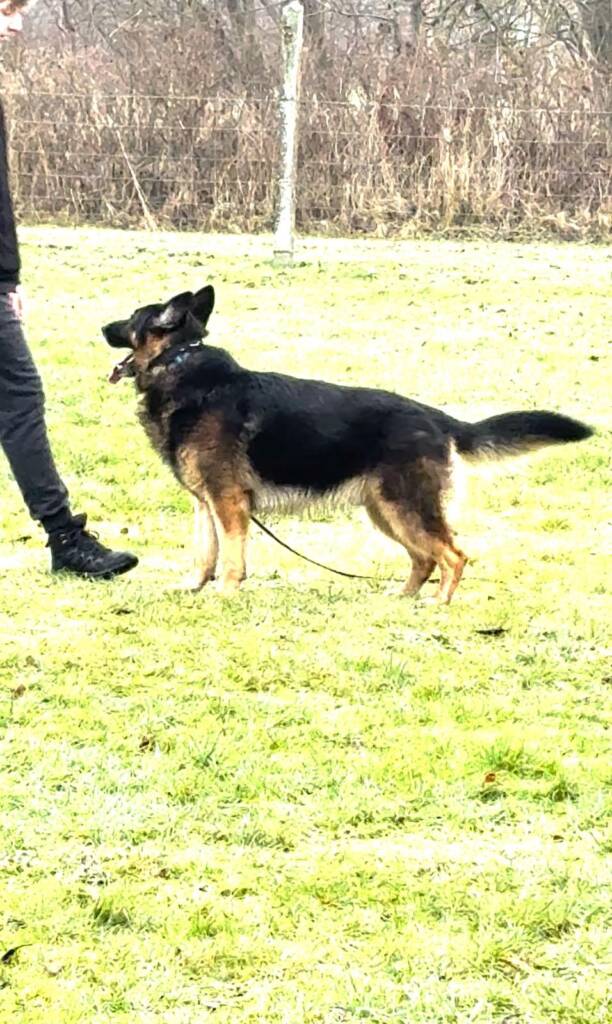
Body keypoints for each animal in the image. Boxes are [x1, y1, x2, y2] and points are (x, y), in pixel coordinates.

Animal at [103, 285, 592, 602]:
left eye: (131, 319)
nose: (103, 327)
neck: (179, 363)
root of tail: (438, 418)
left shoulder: (228, 503)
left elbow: (231, 556)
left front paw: (225, 593)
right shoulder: (206, 503)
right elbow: (204, 553)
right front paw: (193, 587)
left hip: (405, 507)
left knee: (453, 555)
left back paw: (438, 604)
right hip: (385, 511)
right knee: (424, 558)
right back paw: (403, 597)